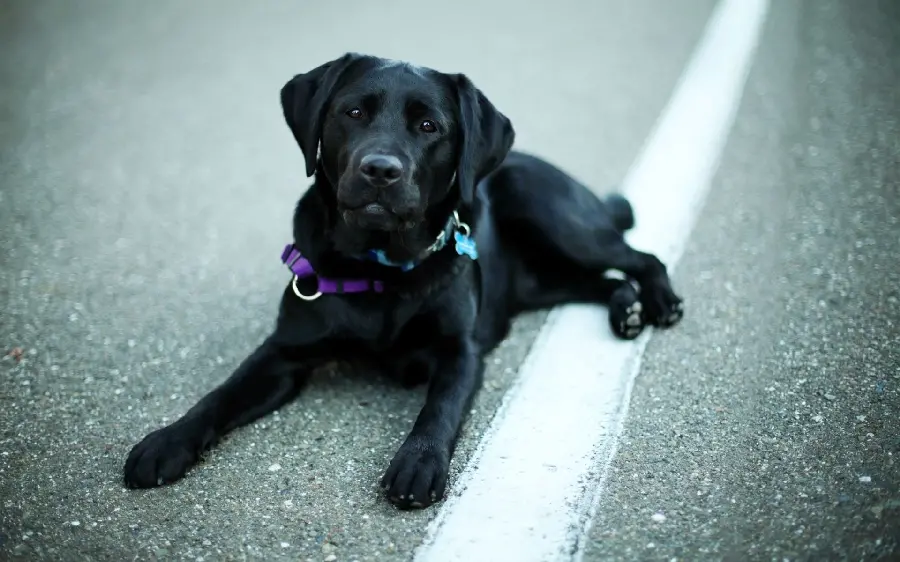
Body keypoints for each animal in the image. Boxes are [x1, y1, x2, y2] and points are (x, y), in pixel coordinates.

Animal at [121, 53, 684, 508]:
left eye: (430, 126)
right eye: (352, 113)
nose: (380, 169)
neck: (378, 268)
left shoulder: (461, 352)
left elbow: (439, 409)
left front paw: (419, 463)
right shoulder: (283, 352)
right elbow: (221, 394)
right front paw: (168, 441)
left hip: (551, 211)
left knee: (640, 257)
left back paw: (658, 302)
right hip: (542, 280)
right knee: (600, 280)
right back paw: (627, 309)